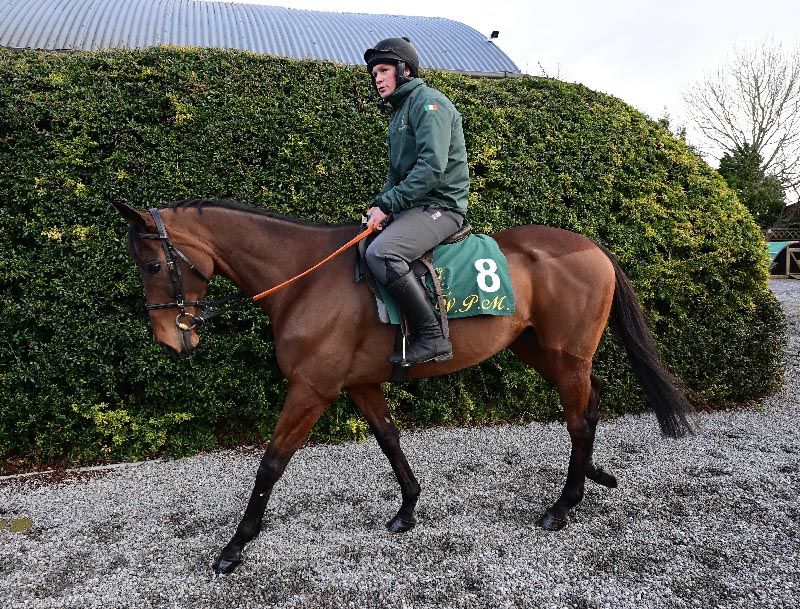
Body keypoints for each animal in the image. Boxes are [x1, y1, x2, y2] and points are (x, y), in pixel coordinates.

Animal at [111, 200, 692, 576]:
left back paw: (564, 503)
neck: (305, 278)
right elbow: (389, 439)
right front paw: (408, 507)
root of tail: (592, 247)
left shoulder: (312, 389)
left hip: (565, 357)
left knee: (577, 417)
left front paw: (236, 545)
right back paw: (593, 475)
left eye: (154, 263)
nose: (170, 341)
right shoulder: (360, 384)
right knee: (591, 401)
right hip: (542, 351)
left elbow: (271, 462)